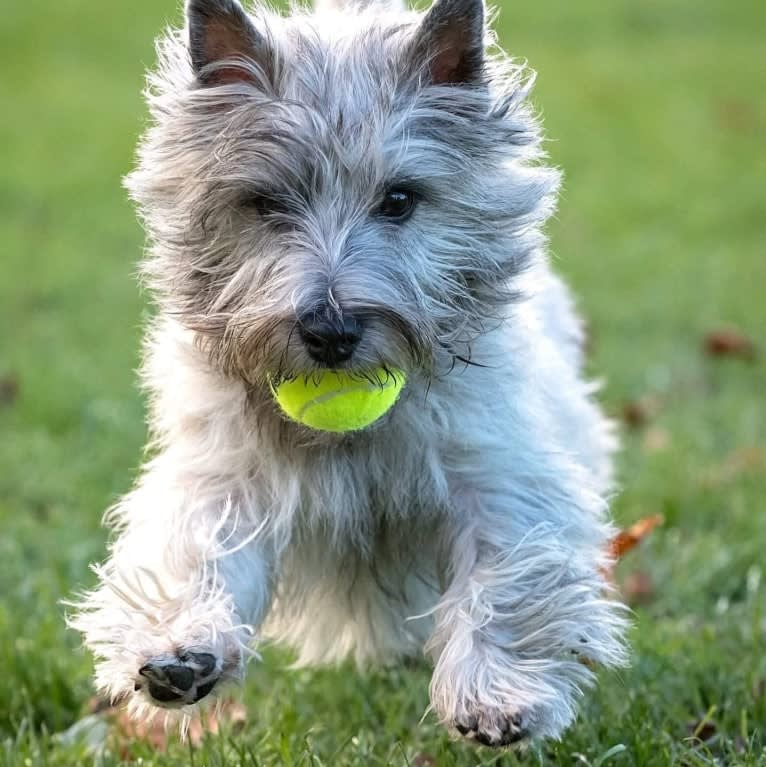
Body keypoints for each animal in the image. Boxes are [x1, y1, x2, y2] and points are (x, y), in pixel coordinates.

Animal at [70, 0, 632, 748]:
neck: (351, 442)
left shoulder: (497, 470)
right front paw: (178, 645)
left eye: (399, 199)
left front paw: (497, 690)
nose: (330, 332)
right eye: (268, 203)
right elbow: (194, 542)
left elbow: (507, 575)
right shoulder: (225, 469)